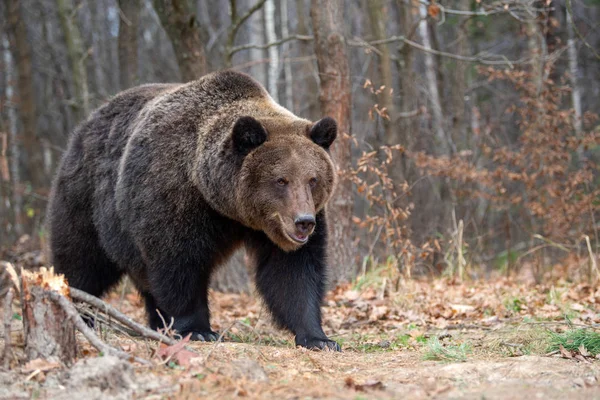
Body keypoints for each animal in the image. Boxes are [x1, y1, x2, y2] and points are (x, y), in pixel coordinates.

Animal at [47, 71, 342, 350]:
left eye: (313, 179)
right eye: (281, 180)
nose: (303, 222)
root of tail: (88, 122)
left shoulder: (279, 228)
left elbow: (293, 272)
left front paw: (319, 338)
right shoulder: (175, 199)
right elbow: (178, 264)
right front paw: (198, 329)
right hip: (88, 199)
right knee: (82, 259)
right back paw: (80, 311)